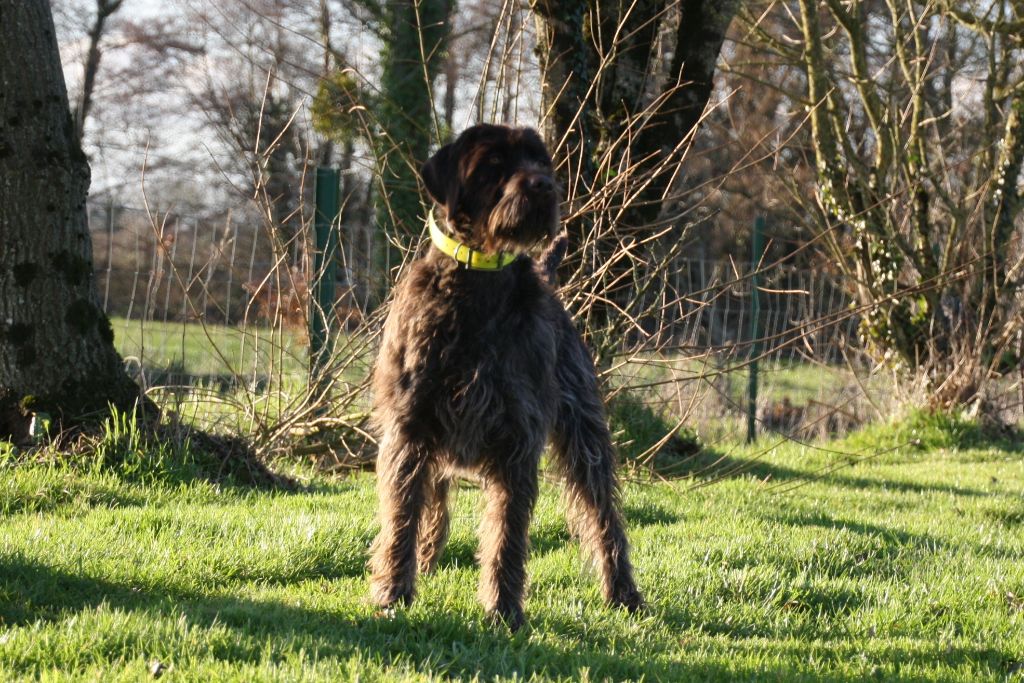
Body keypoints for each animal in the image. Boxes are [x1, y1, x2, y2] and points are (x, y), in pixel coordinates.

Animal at [368, 122, 638, 630]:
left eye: (540, 160)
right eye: (493, 162)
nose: (545, 186)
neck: (478, 282)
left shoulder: (517, 440)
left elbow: (506, 536)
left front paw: (504, 610)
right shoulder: (410, 433)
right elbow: (401, 521)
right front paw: (392, 593)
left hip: (585, 441)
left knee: (604, 519)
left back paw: (623, 592)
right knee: (434, 505)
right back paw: (425, 563)